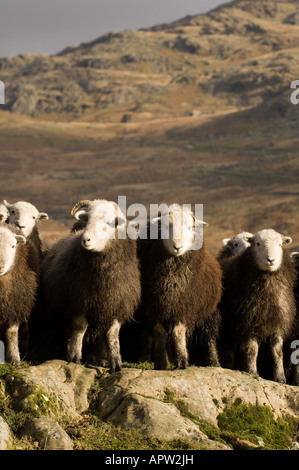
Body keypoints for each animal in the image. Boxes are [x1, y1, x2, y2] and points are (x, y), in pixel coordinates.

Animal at [40, 198, 142, 370]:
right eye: (87, 219)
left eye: (109, 222)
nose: (85, 240)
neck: (103, 279)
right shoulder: (79, 303)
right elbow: (80, 329)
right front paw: (74, 358)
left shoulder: (116, 304)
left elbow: (112, 334)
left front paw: (116, 362)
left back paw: (100, 360)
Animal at [137, 204, 224, 370]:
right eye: (165, 226)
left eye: (190, 227)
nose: (177, 246)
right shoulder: (155, 306)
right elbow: (160, 332)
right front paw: (161, 362)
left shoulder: (184, 306)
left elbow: (178, 331)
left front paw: (182, 361)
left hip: (209, 312)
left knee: (209, 336)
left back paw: (214, 362)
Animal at [220, 229, 298, 384]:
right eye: (257, 243)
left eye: (280, 244)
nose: (271, 260)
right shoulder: (247, 321)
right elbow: (252, 349)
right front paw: (252, 372)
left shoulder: (278, 321)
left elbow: (277, 352)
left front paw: (280, 377)